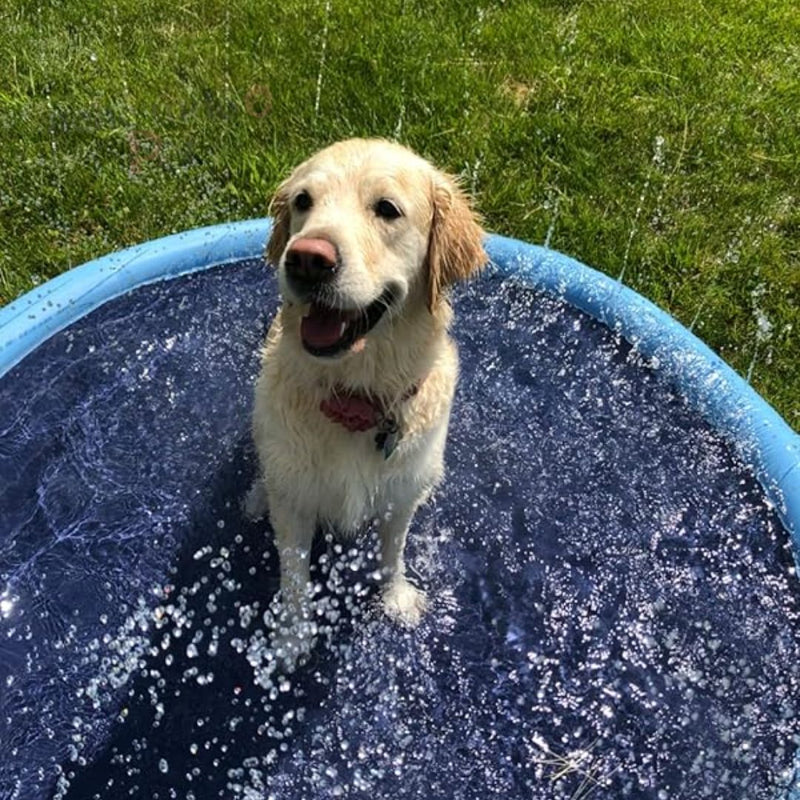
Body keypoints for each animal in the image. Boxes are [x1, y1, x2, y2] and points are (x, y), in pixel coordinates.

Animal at [250, 139, 488, 668]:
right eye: (303, 202)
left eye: (387, 209)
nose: (306, 259)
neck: (355, 396)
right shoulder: (294, 502)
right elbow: (293, 576)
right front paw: (291, 638)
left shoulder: (400, 494)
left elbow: (392, 552)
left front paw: (395, 597)